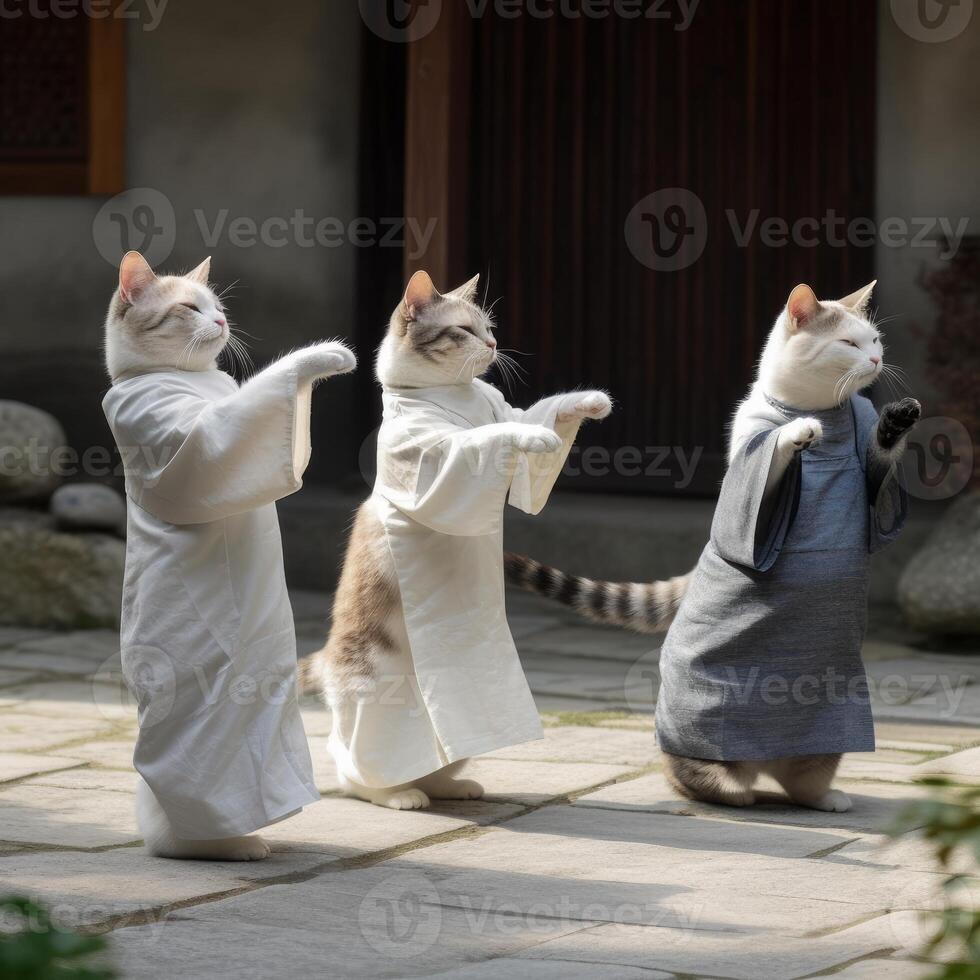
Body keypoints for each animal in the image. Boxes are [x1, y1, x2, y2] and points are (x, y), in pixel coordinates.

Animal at [102, 253, 356, 856]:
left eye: (217, 307)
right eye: (190, 309)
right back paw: (220, 844)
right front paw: (325, 355)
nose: (219, 323)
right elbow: (246, 405)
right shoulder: (175, 432)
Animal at [302, 270, 612, 812]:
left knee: (439, 764)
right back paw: (395, 793)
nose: (492, 345)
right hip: (372, 696)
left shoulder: (503, 408)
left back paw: (449, 785)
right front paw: (530, 439)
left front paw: (588, 402)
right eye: (465, 330)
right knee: (351, 766)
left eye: (488, 328)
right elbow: (487, 438)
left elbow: (531, 414)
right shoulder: (430, 455)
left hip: (447, 750)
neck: (452, 393)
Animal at [512, 280, 920, 808]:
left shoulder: (869, 460)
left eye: (875, 342)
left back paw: (820, 795)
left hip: (818, 750)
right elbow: (770, 455)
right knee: (690, 768)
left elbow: (879, 461)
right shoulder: (749, 453)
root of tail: (763, 767)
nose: (874, 361)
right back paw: (722, 789)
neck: (814, 405)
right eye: (849, 344)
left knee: (805, 774)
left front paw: (897, 421)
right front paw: (795, 431)